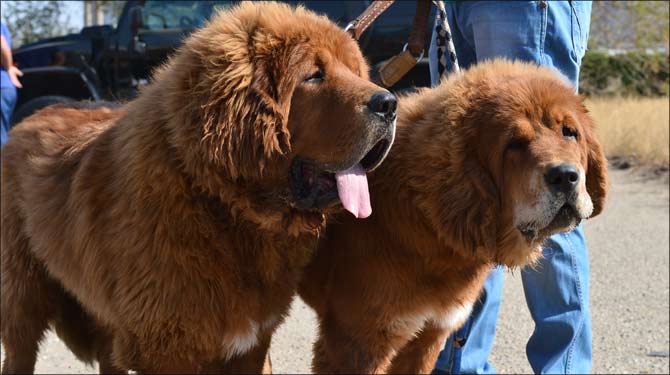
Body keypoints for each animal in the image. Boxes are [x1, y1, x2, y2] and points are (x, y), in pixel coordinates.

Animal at [1, 2, 400, 374]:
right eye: (314, 75)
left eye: (356, 72)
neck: (219, 202)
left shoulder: (252, 341)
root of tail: (25, 121)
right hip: (22, 302)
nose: (389, 103)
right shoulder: (168, 348)